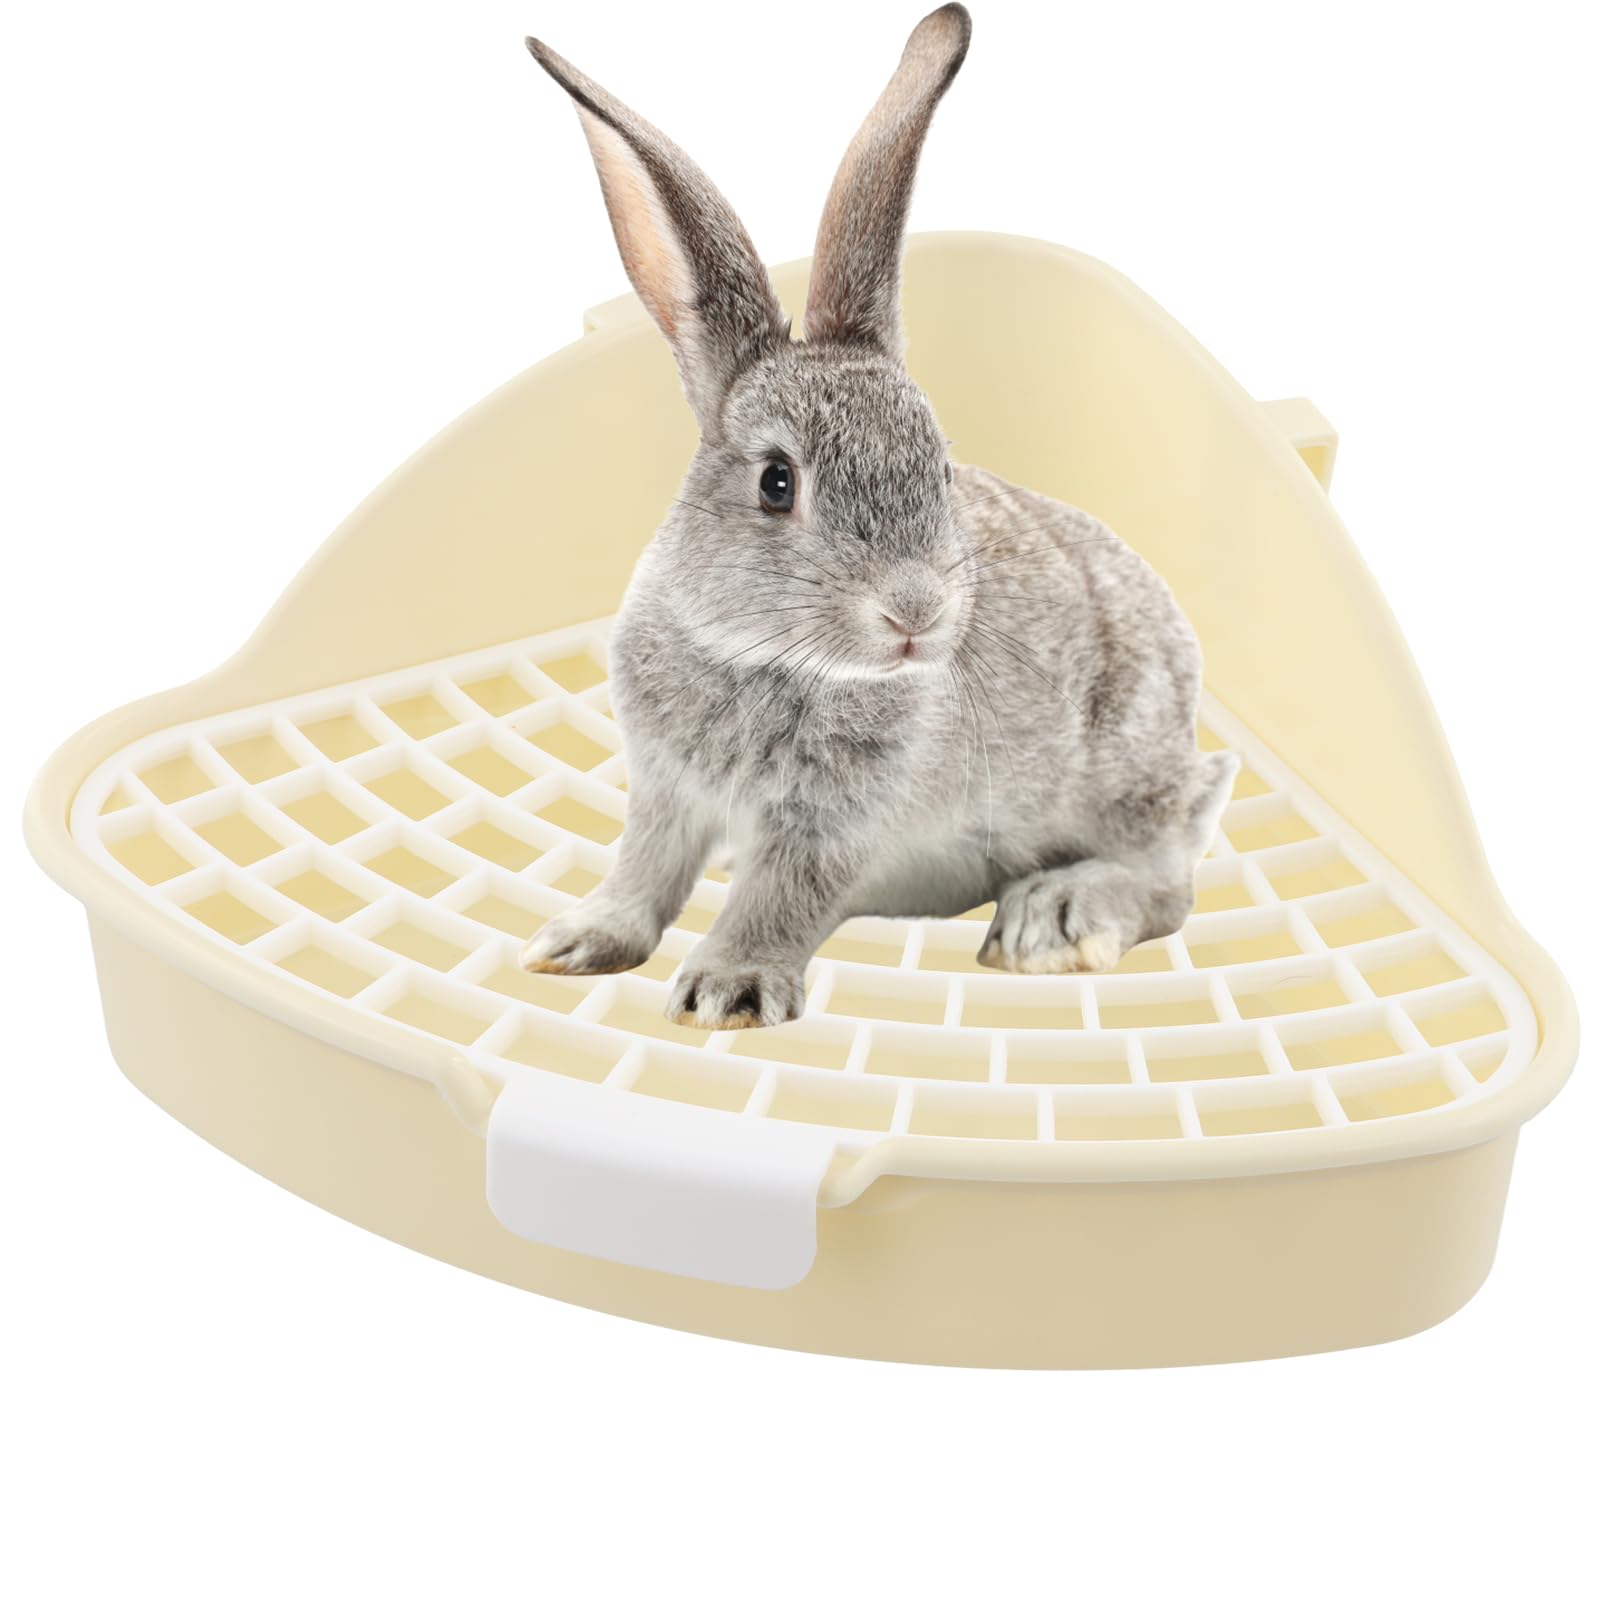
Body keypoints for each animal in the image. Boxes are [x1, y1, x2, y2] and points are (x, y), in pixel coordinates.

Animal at [518, 3, 1238, 1030]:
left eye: (937, 466)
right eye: (778, 482)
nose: (917, 612)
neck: (768, 657)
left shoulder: (830, 826)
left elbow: (775, 897)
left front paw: (728, 991)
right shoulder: (664, 792)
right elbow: (643, 871)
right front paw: (578, 942)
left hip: (1123, 778)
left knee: (1168, 880)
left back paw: (1052, 921)